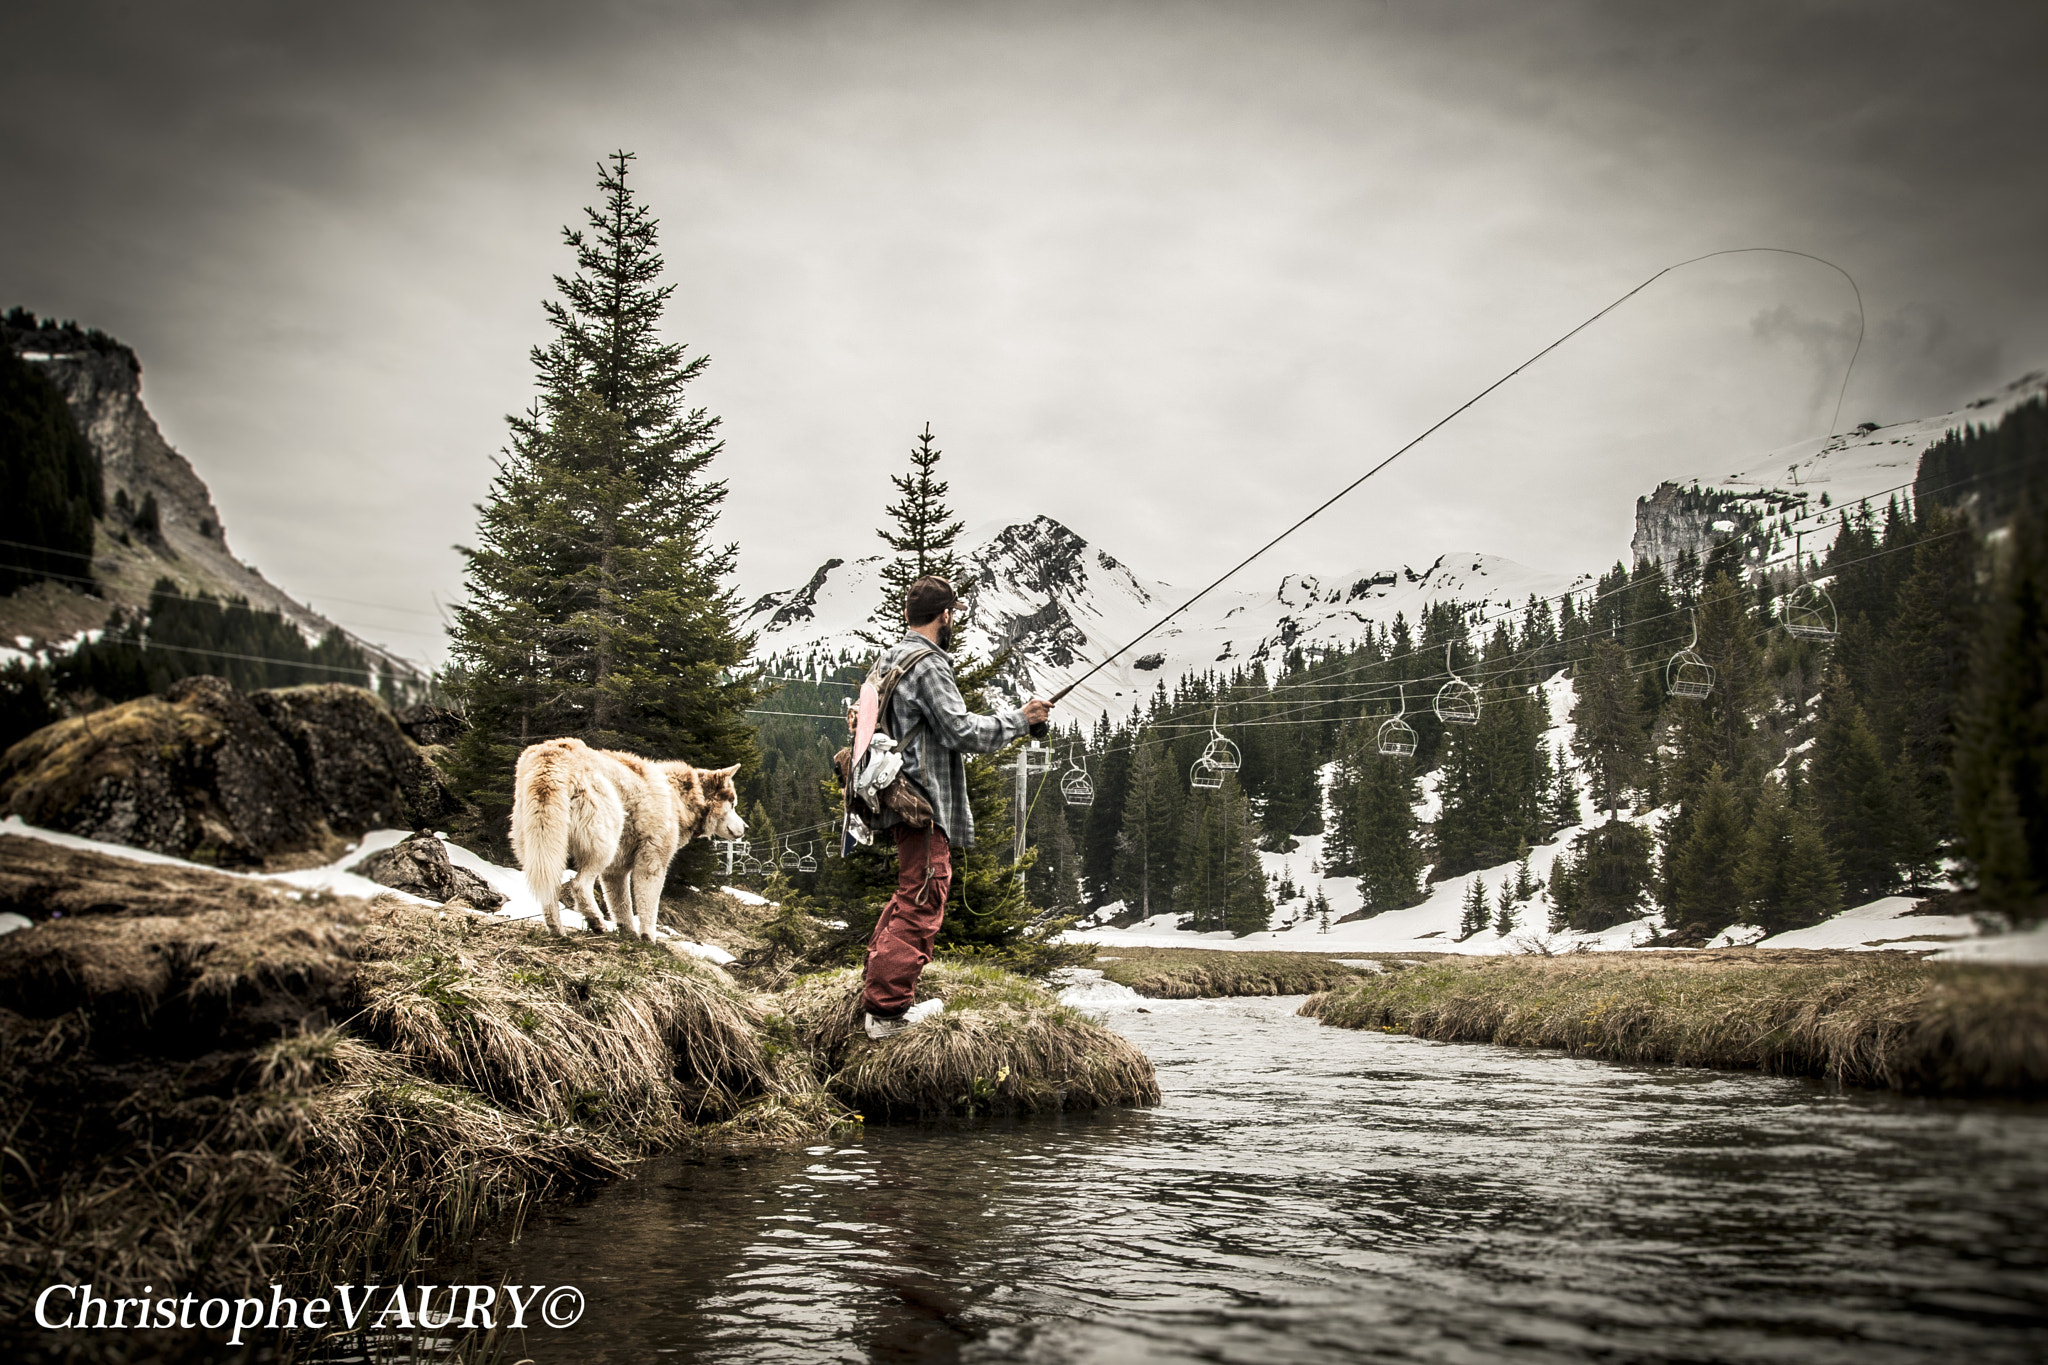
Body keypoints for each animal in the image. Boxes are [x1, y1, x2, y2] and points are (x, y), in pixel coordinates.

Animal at [509, 736, 749, 941]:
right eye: (733, 804)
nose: (746, 827)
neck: (680, 798)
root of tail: (552, 755)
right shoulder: (652, 863)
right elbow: (648, 907)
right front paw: (648, 938)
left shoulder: (616, 870)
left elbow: (622, 906)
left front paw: (628, 933)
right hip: (603, 844)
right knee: (578, 884)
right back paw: (596, 922)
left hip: (543, 847)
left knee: (550, 889)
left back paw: (557, 930)